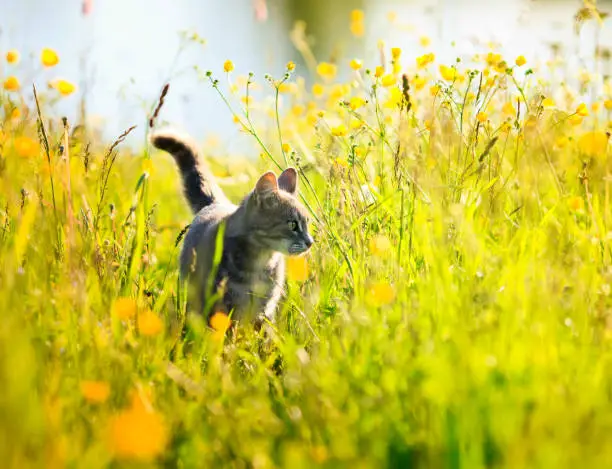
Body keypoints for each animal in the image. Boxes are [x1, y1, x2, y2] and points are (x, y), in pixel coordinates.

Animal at [150, 128, 314, 326]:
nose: (310, 242)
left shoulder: (264, 310)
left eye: (307, 223)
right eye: (292, 224)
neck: (260, 261)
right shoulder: (223, 304)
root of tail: (217, 203)